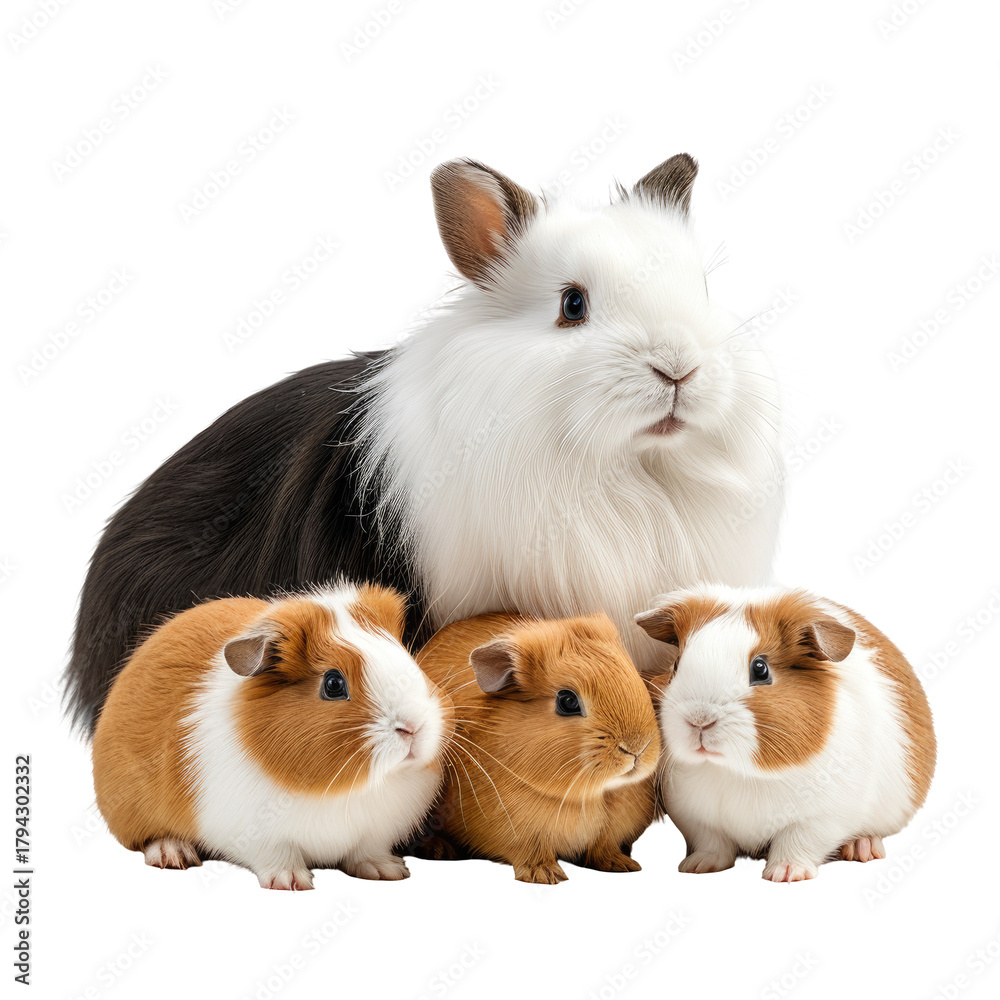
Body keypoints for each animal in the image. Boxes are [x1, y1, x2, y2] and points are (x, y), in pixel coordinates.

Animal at [92, 583, 450, 889]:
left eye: (406, 658)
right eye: (333, 684)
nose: (414, 727)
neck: (347, 788)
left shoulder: (375, 832)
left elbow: (366, 853)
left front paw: (390, 872)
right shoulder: (256, 834)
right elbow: (279, 856)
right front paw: (291, 883)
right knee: (148, 839)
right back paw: (174, 854)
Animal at [413, 611, 661, 884]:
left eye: (633, 673)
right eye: (567, 701)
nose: (637, 748)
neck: (591, 797)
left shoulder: (609, 833)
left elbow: (604, 849)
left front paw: (623, 865)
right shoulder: (518, 833)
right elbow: (532, 854)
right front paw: (547, 876)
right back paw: (440, 850)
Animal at [634, 585, 937, 882]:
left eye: (760, 669)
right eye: (676, 665)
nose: (699, 720)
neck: (738, 772)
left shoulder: (822, 817)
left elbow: (796, 843)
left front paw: (786, 874)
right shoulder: (696, 819)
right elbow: (713, 845)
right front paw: (697, 867)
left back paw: (862, 849)